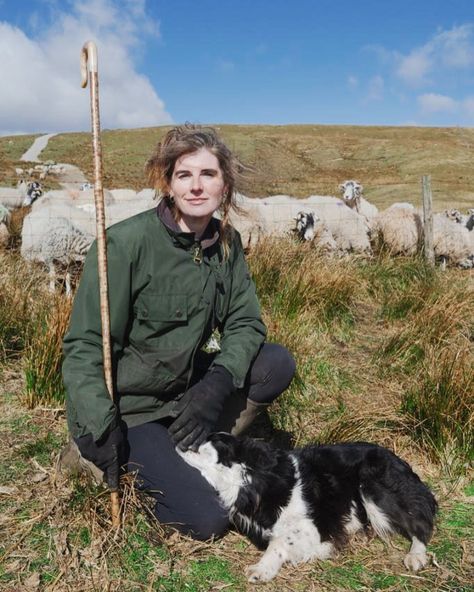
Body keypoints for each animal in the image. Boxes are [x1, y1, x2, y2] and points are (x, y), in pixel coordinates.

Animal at [181, 432, 436, 580]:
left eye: (199, 445)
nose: (178, 441)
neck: (253, 480)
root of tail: (398, 459)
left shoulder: (311, 526)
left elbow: (279, 542)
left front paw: (261, 570)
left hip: (372, 484)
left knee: (421, 524)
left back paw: (415, 555)